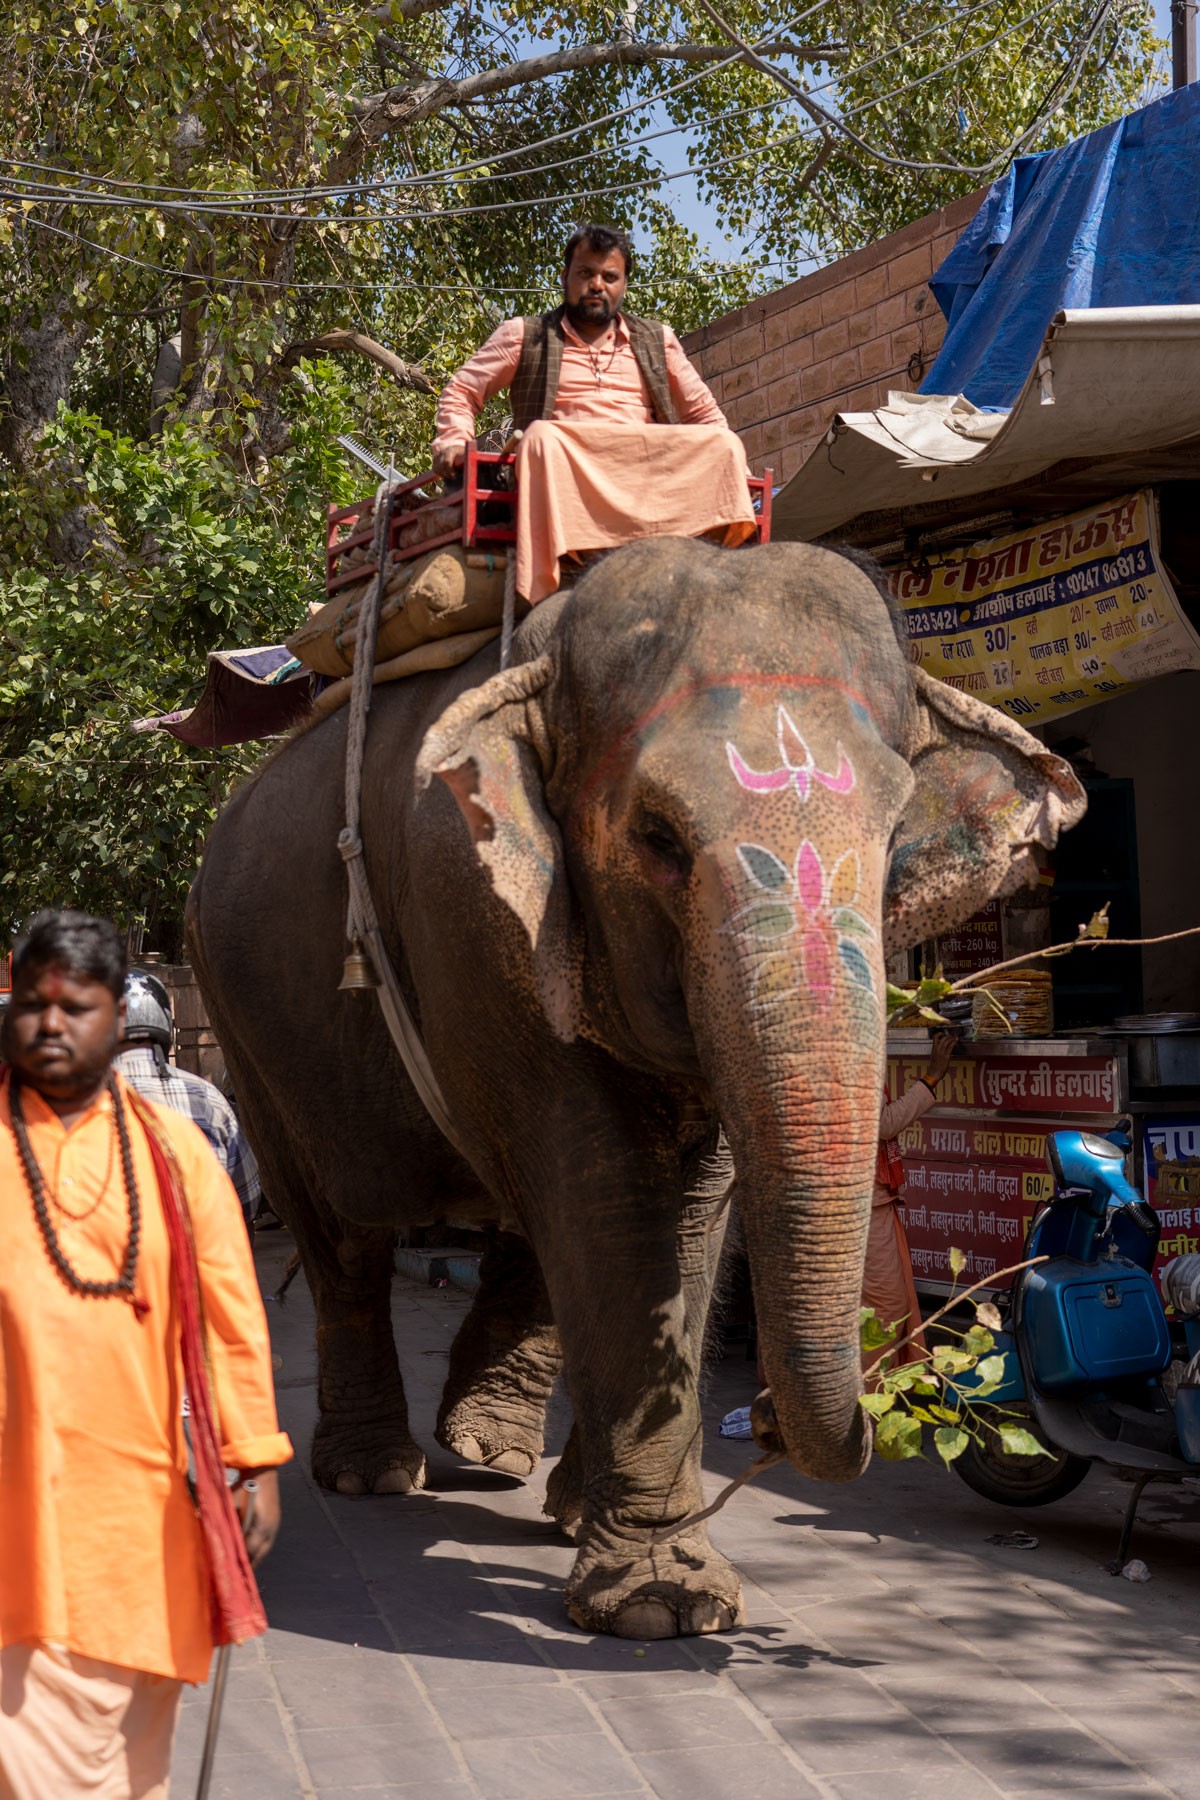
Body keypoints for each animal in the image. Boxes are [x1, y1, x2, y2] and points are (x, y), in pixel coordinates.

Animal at [189, 525, 1086, 1641]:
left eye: (890, 844)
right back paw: (376, 1474)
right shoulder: (468, 909)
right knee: (342, 1233)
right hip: (243, 1021)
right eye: (657, 840)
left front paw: (628, 1557)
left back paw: (493, 1453)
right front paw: (661, 1607)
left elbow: (686, 1210)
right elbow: (608, 1195)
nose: (773, 1423)